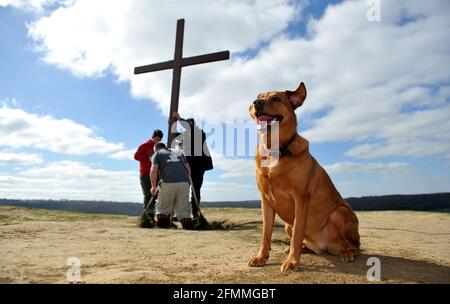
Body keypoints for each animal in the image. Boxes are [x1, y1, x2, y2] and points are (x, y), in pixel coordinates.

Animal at [248, 82, 360, 272]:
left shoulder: (301, 199)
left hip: (339, 212)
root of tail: (325, 248)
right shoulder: (266, 200)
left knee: (356, 246)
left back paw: (348, 253)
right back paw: (304, 249)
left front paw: (293, 261)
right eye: (258, 96)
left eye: (276, 99)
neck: (275, 150)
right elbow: (266, 234)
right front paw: (261, 257)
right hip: (288, 224)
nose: (256, 103)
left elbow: (298, 233)